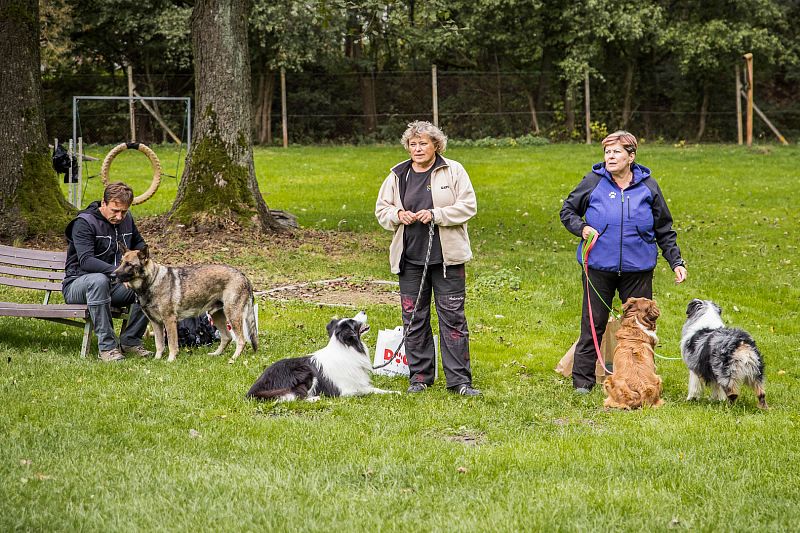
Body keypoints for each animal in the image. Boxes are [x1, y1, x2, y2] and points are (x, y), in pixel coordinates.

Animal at [112, 244, 255, 362]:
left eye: (129, 264)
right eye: (121, 262)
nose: (112, 275)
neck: (152, 282)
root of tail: (243, 275)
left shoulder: (169, 321)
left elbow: (171, 345)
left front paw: (170, 360)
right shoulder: (156, 323)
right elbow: (159, 344)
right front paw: (157, 360)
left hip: (232, 316)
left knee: (241, 340)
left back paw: (234, 358)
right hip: (217, 316)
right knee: (227, 338)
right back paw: (216, 354)